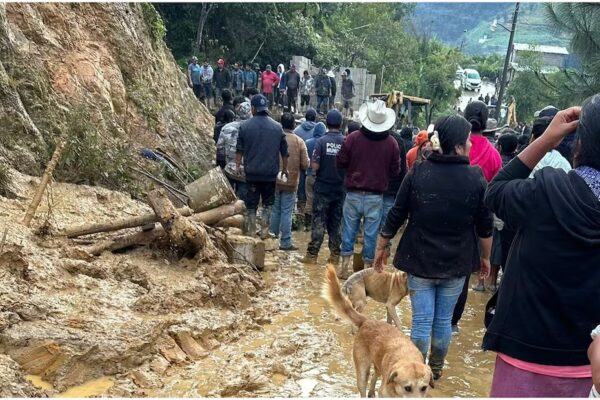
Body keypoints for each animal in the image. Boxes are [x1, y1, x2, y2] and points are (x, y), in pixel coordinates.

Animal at [324, 264, 432, 398]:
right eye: (407, 388)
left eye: (424, 388)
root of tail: (366, 321)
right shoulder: (390, 305)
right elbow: (398, 322)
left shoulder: (389, 307)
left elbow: (391, 320)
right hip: (362, 371)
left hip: (377, 365)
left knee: (374, 377)